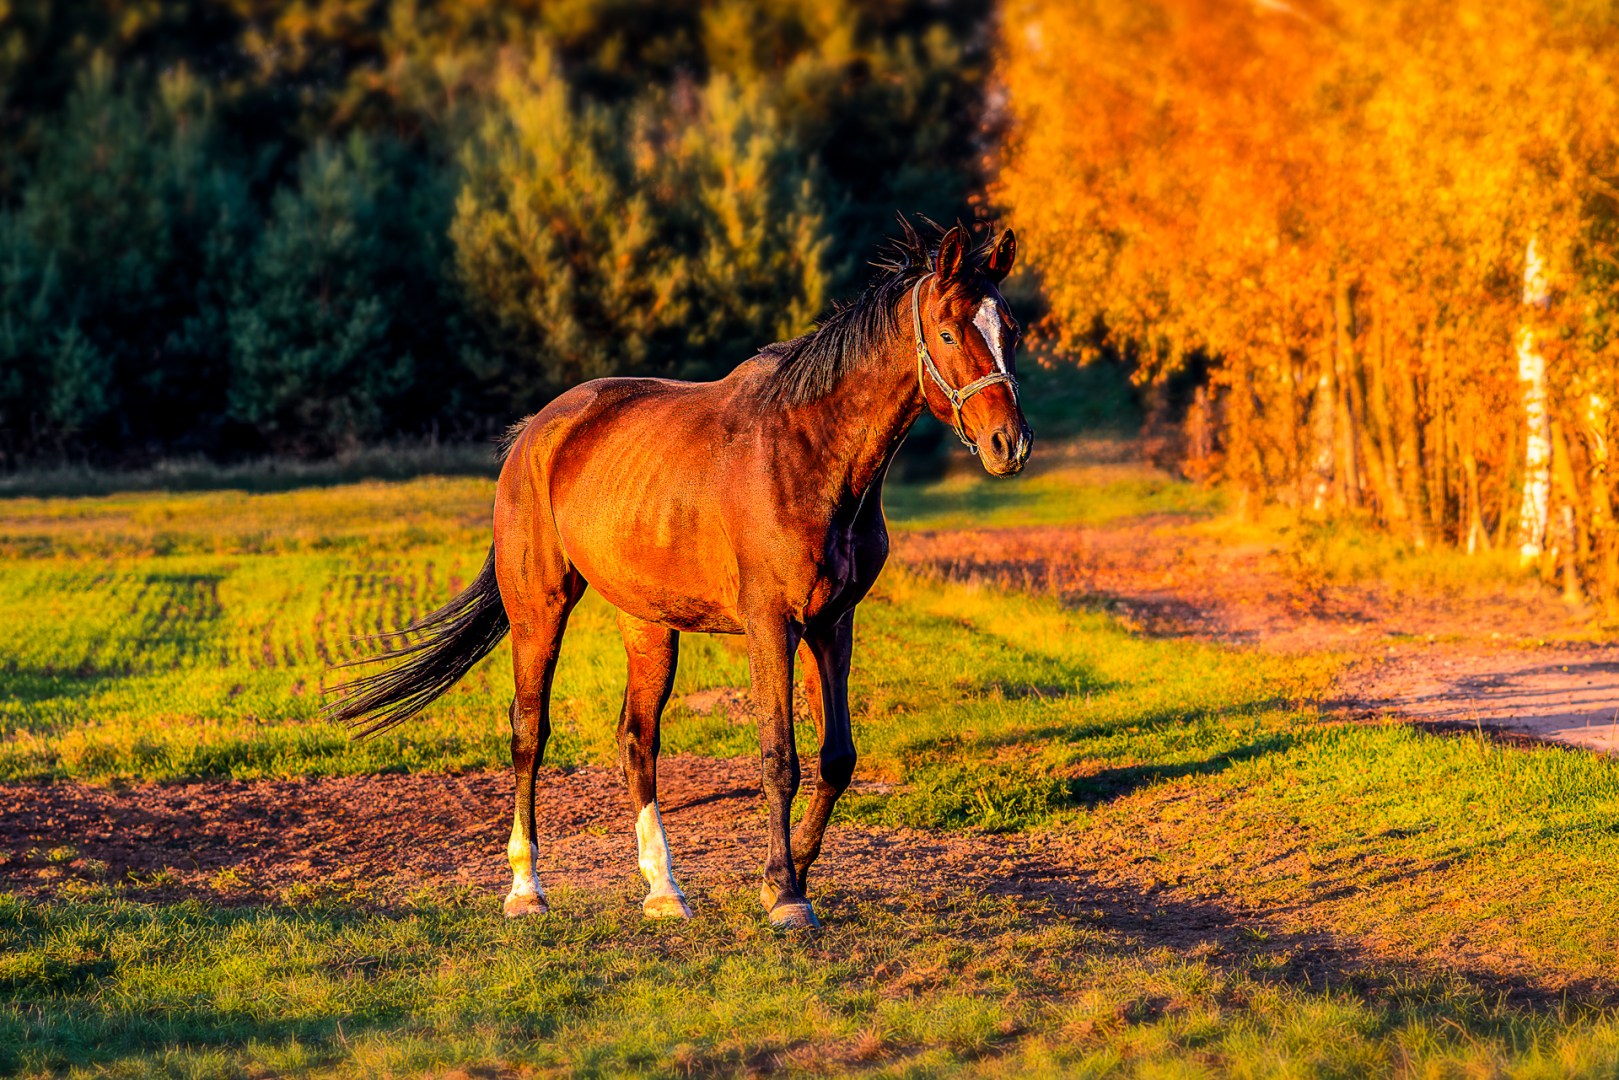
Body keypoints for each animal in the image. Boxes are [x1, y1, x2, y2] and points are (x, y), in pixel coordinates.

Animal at [326, 219, 1033, 929]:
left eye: (1011, 329)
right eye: (949, 332)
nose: (1010, 444)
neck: (810, 452)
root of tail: (533, 433)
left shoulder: (833, 623)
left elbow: (836, 757)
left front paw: (790, 874)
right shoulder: (770, 624)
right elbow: (780, 757)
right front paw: (784, 892)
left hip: (647, 623)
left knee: (637, 739)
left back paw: (663, 888)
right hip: (539, 609)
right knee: (529, 731)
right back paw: (526, 889)